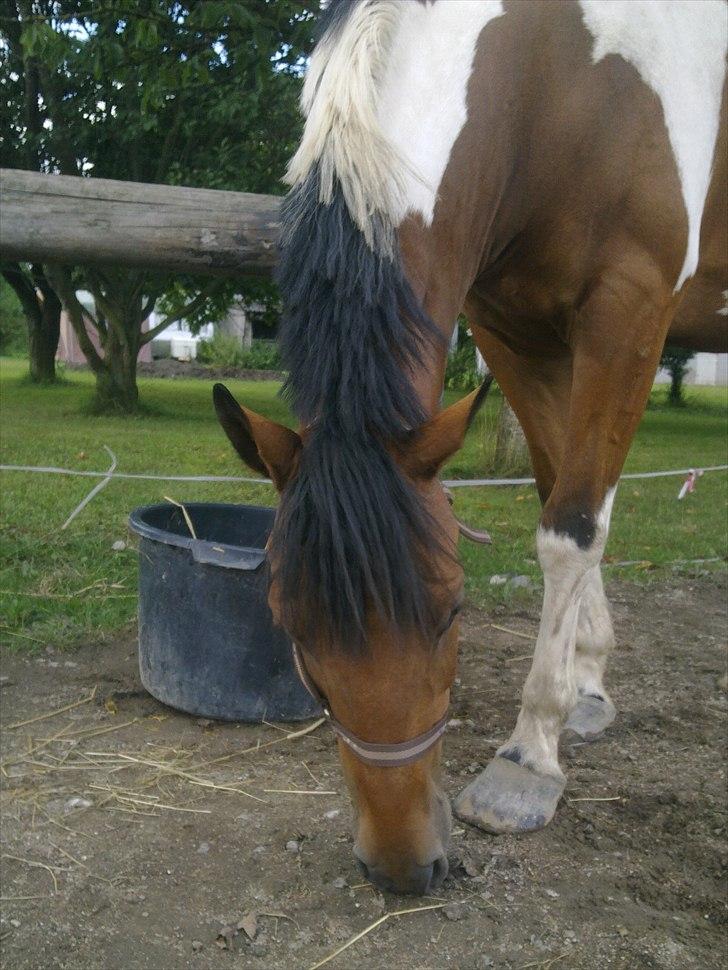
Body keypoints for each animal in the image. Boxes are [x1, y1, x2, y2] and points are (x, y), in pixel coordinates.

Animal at [214, 0, 727, 895]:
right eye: (292, 629)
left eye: (455, 609)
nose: (404, 865)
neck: (565, 75)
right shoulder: (512, 328)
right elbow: (566, 493)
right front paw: (587, 685)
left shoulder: (631, 309)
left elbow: (573, 526)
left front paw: (530, 759)